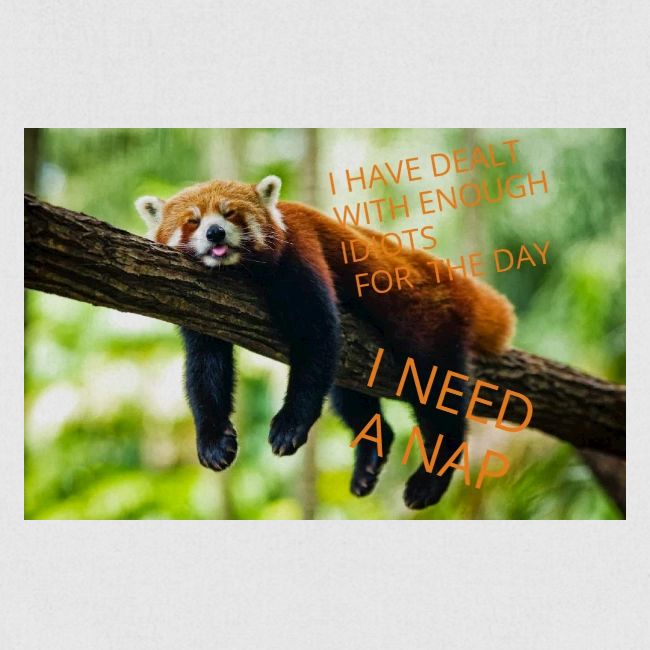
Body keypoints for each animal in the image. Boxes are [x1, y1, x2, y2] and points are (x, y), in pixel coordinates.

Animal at [135, 175, 515, 509]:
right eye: (193, 221)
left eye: (230, 214)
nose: (215, 232)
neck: (238, 271)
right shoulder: (200, 303)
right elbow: (205, 367)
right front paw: (213, 441)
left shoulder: (300, 252)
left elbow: (316, 339)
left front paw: (290, 425)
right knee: (349, 396)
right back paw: (369, 458)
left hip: (427, 323)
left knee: (436, 393)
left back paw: (431, 478)